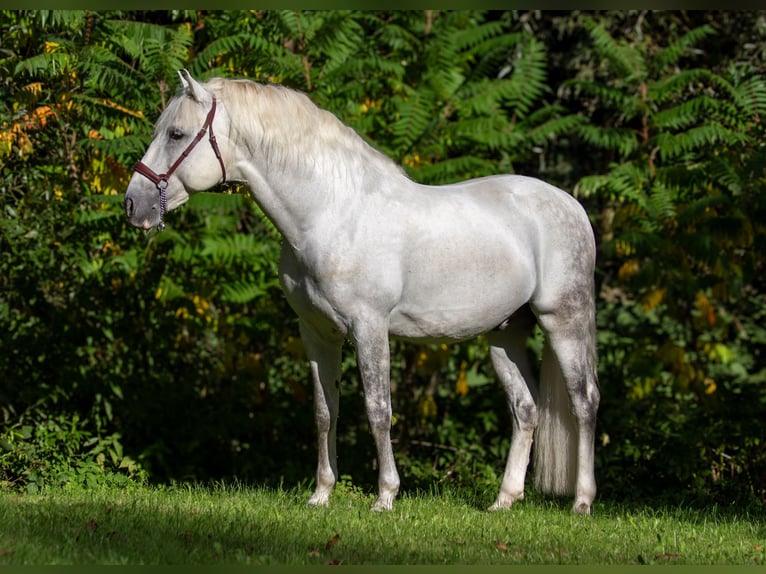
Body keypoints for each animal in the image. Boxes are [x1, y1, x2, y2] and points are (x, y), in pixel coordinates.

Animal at [126, 70, 604, 516]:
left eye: (176, 134)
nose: (133, 205)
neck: (332, 213)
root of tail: (571, 205)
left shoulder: (369, 328)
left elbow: (378, 410)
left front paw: (385, 497)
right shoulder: (317, 333)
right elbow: (325, 412)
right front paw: (321, 494)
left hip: (563, 321)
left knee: (584, 401)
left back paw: (582, 501)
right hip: (505, 334)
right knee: (526, 409)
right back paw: (504, 500)